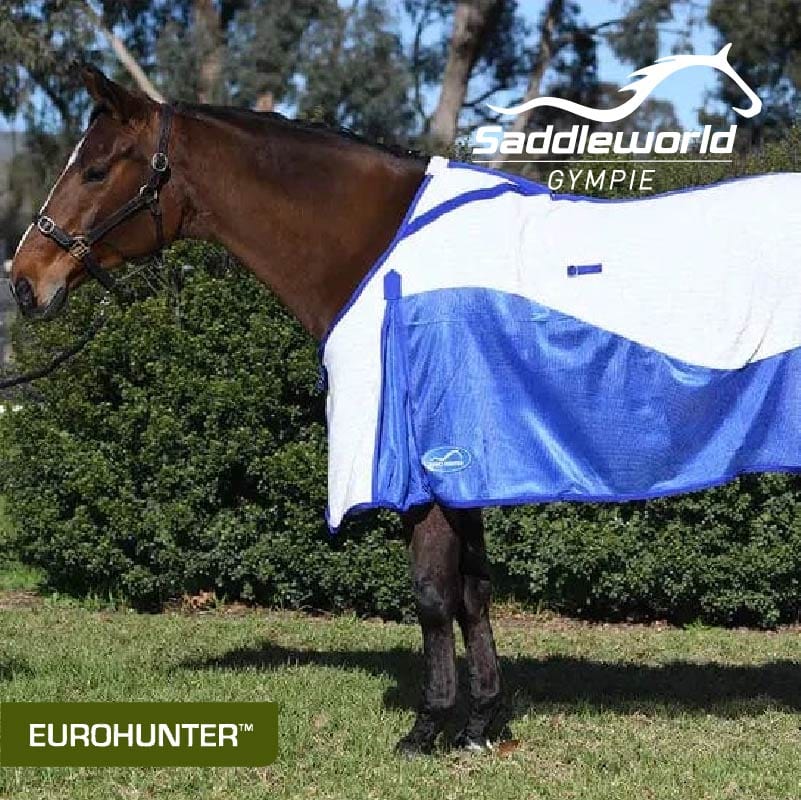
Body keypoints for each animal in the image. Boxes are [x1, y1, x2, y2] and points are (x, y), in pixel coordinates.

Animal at [11, 66, 500, 755]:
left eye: (96, 171)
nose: (23, 279)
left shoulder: (424, 463)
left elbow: (433, 593)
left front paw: (426, 726)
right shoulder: (465, 469)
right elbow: (472, 592)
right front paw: (479, 723)